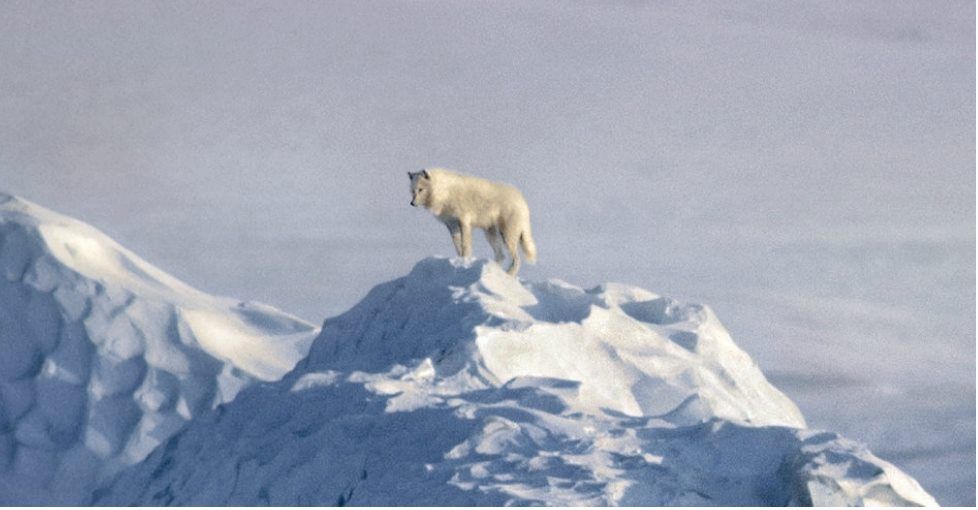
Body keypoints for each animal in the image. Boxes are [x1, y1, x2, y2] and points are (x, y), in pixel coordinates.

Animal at [408, 168, 537, 276]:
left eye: (420, 189)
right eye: (412, 191)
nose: (412, 203)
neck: (444, 192)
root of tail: (522, 201)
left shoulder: (463, 222)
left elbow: (465, 246)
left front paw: (465, 261)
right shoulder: (452, 226)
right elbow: (458, 248)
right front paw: (460, 261)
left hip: (506, 236)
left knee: (516, 260)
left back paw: (508, 275)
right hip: (491, 235)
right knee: (501, 256)